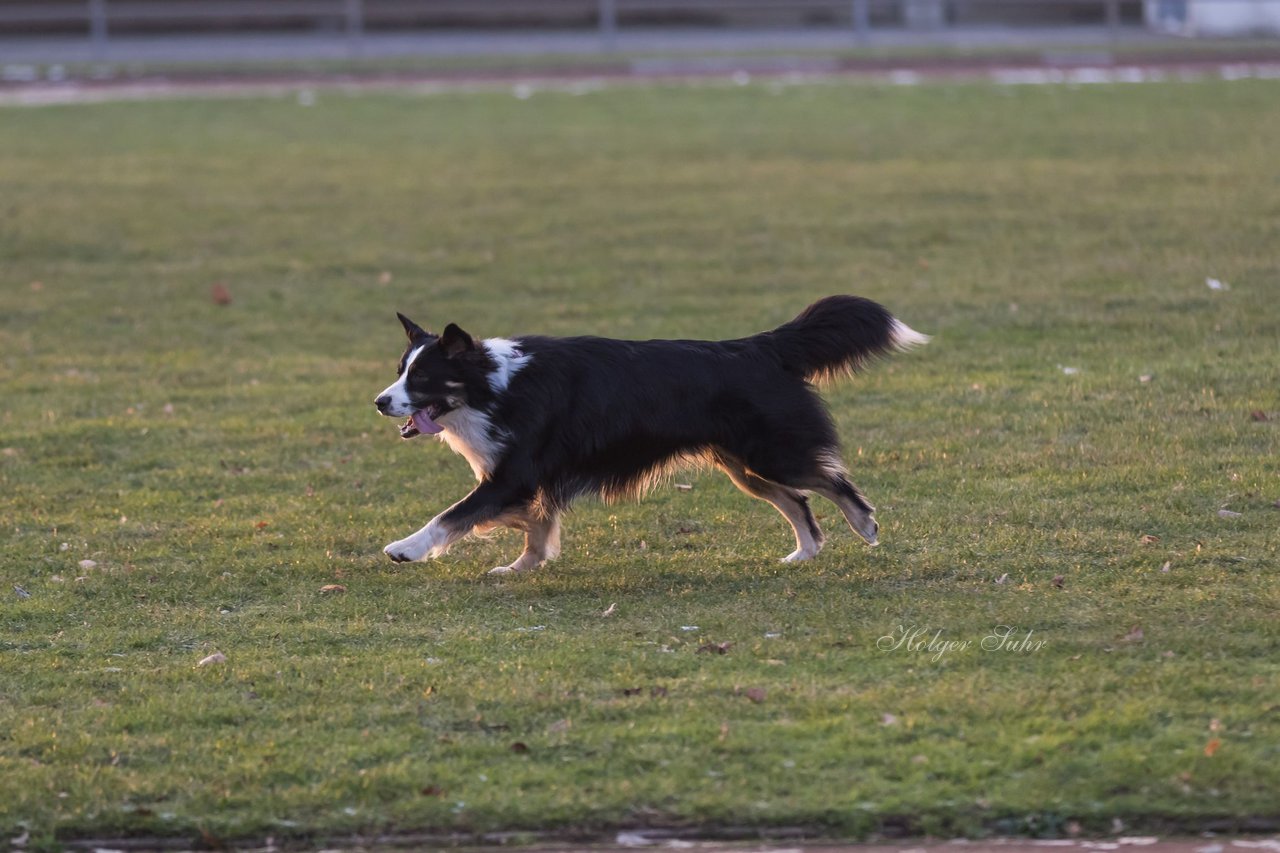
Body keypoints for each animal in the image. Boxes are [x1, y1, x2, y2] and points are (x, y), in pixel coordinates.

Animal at [373, 294, 926, 571]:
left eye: (421, 379)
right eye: (401, 370)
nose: (379, 402)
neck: (493, 386)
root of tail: (757, 347)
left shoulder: (515, 474)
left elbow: (451, 516)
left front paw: (407, 548)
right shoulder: (536, 477)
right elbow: (537, 525)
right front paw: (524, 567)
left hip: (772, 452)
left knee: (831, 481)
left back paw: (864, 524)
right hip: (742, 466)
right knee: (798, 500)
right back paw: (805, 552)